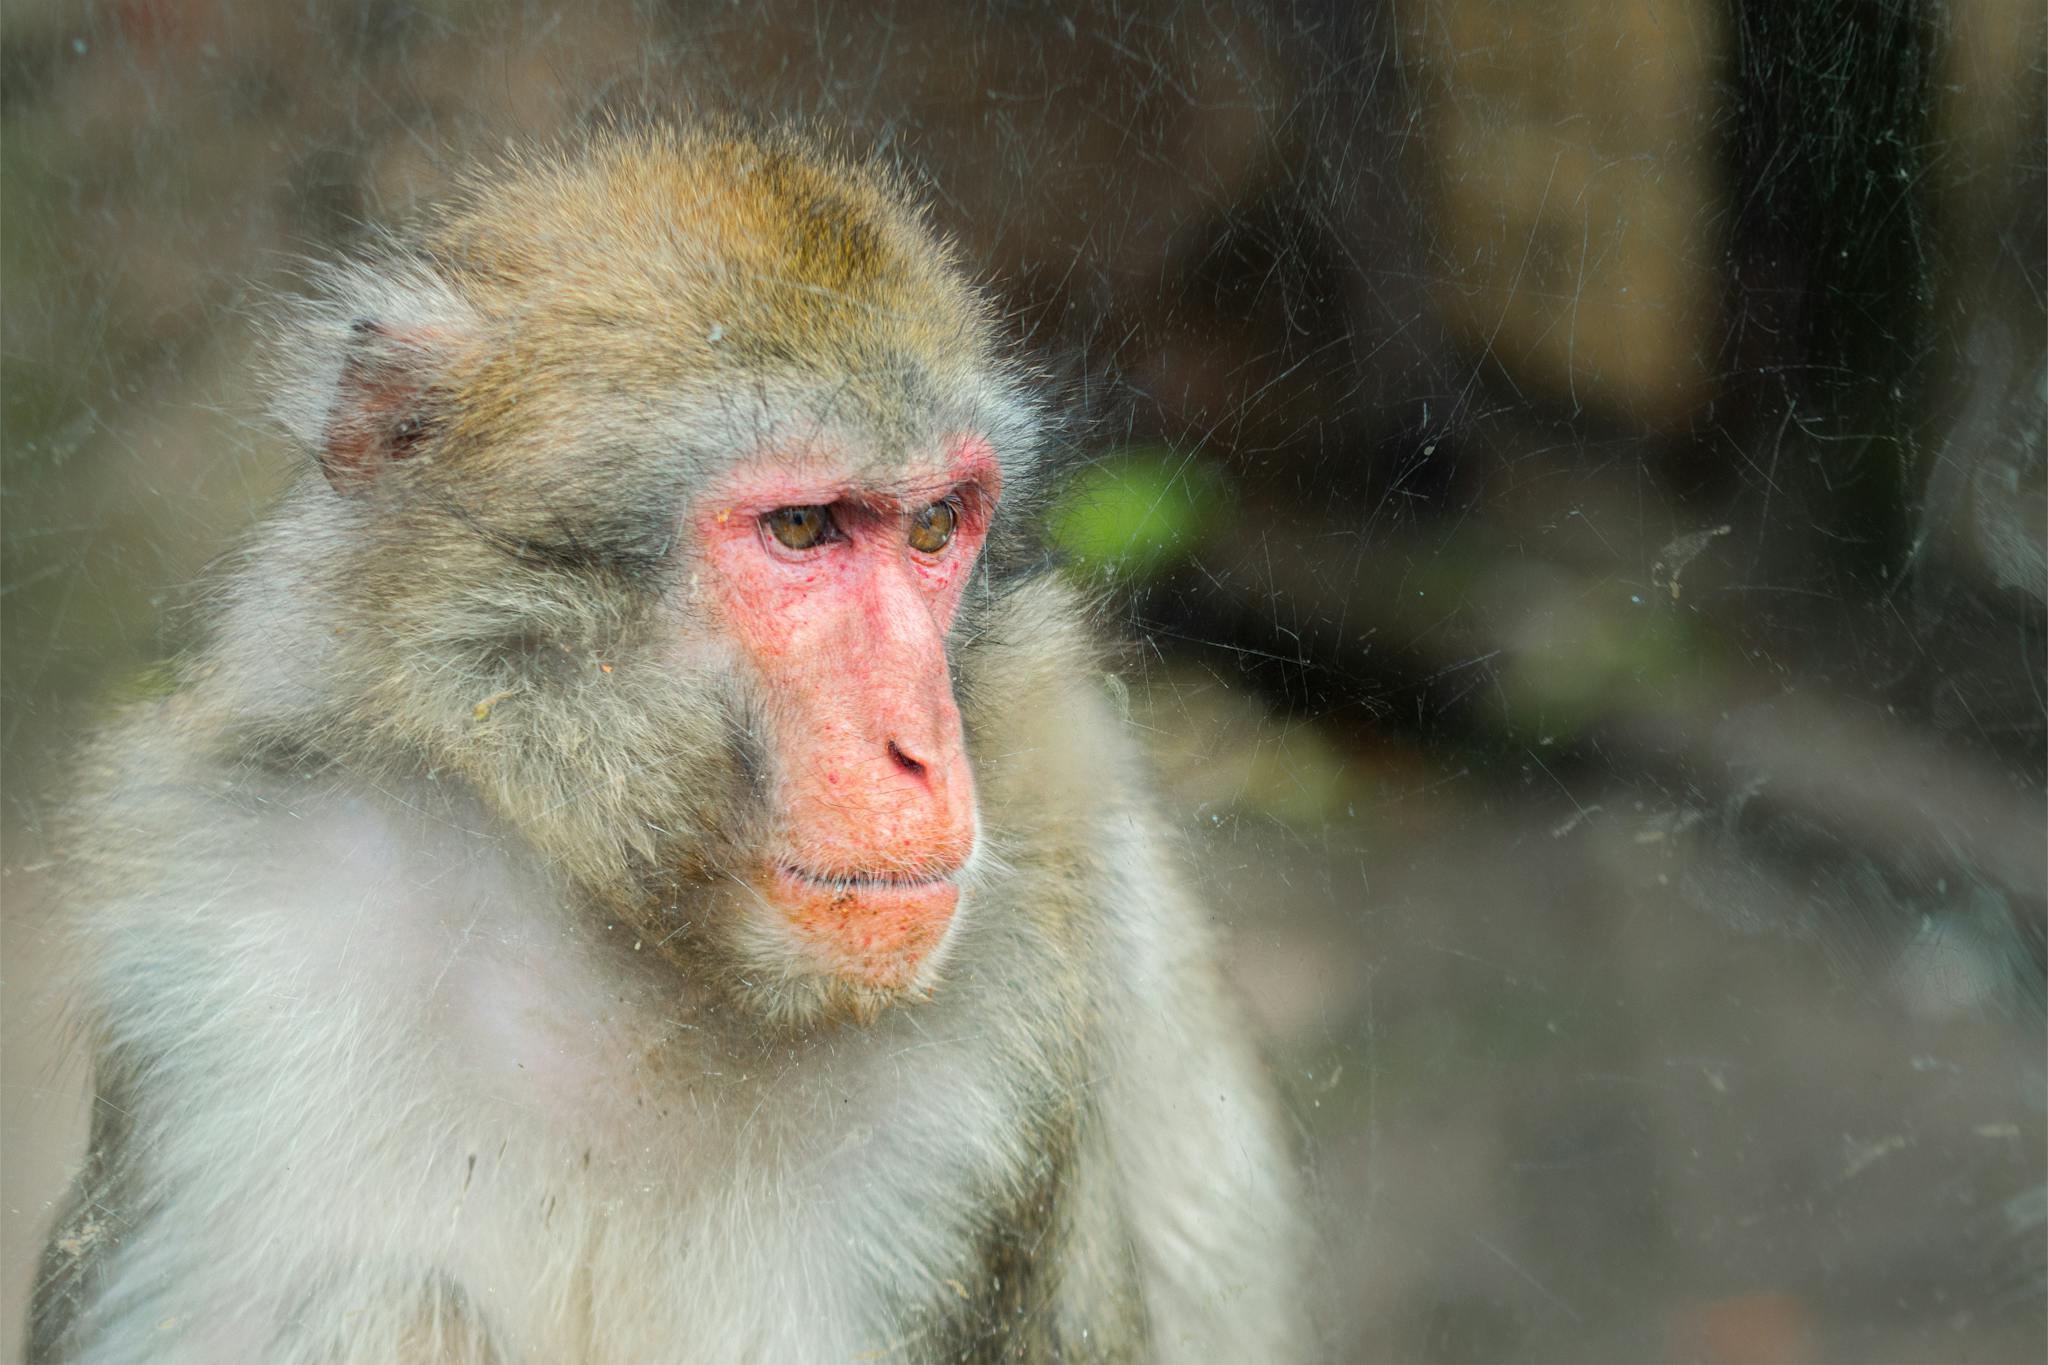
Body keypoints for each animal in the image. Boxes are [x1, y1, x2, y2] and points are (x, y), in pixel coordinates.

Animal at [27, 124, 1303, 1364]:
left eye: (935, 525)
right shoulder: (225, 944)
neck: (634, 964)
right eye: (804, 527)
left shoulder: (995, 1057)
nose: (922, 750)